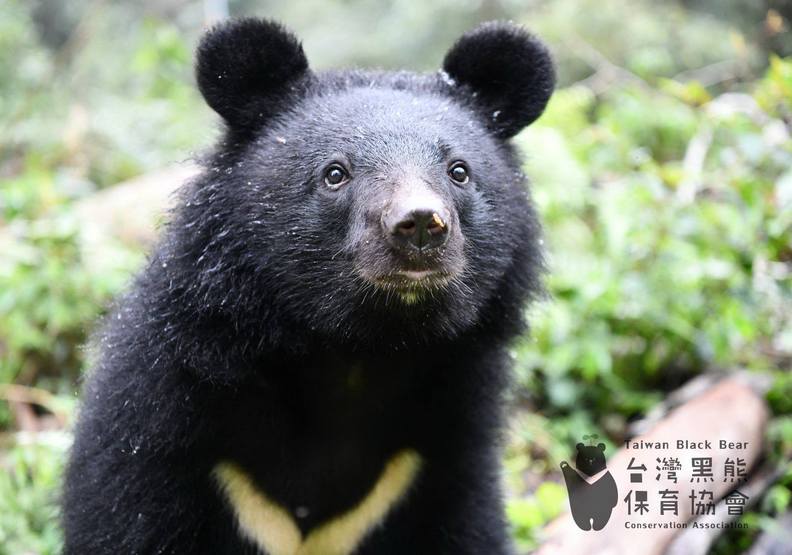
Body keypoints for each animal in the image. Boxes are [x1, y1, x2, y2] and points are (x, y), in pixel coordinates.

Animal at [62, 17, 555, 555]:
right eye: (335, 173)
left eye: (459, 171)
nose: (421, 225)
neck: (354, 352)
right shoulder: (158, 421)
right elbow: (127, 521)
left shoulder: (445, 453)